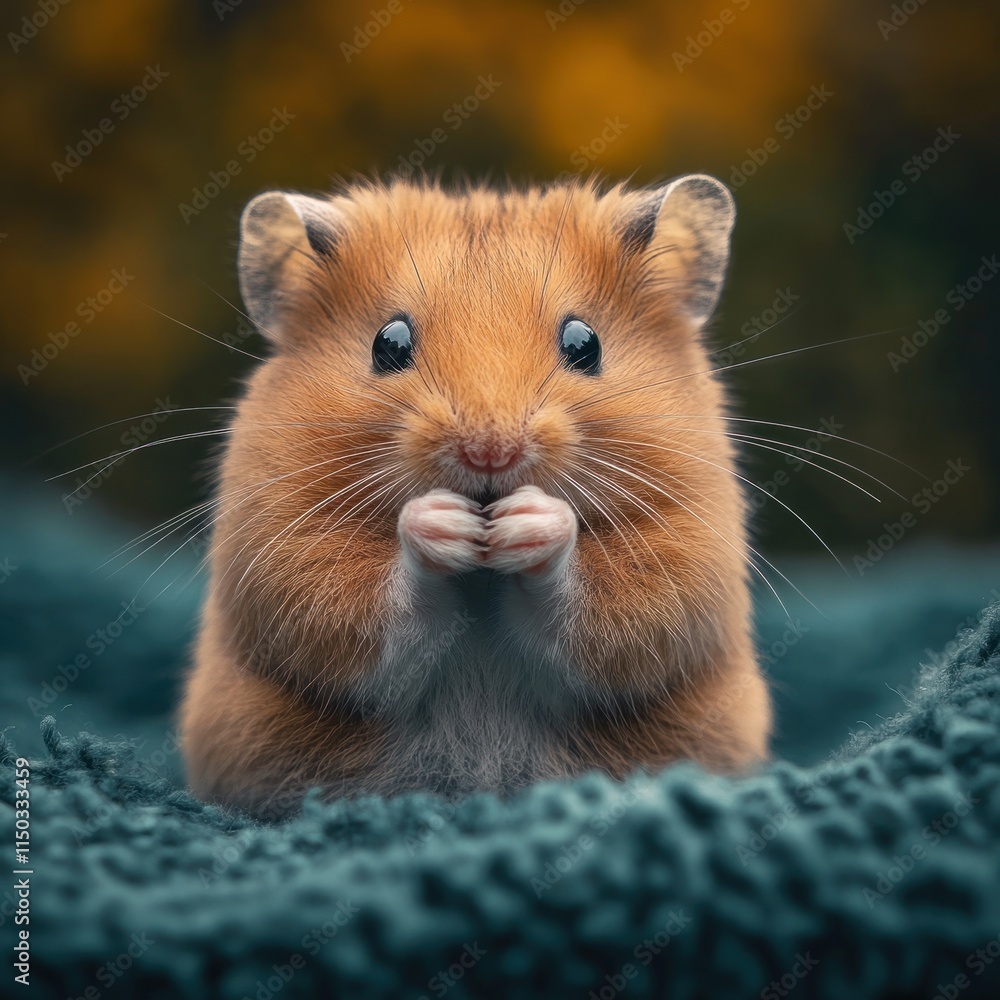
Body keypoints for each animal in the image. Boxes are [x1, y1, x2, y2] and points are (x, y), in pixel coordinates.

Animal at [179, 175, 771, 817]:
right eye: (388, 343)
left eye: (585, 343)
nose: (490, 453)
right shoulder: (280, 537)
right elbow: (369, 604)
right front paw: (442, 525)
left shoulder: (686, 544)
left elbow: (603, 611)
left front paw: (529, 522)